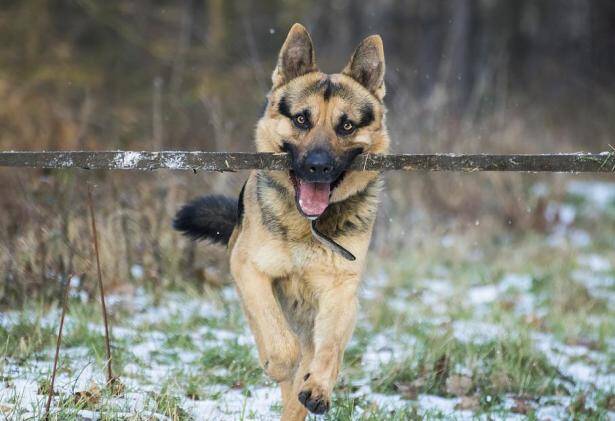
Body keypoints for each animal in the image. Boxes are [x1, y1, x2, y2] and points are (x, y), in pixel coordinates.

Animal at [173, 23, 388, 420]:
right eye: (301, 119)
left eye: (346, 126)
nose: (318, 166)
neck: (308, 227)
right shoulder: (249, 269)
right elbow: (277, 338)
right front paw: (278, 363)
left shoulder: (341, 292)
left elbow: (329, 350)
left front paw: (318, 386)